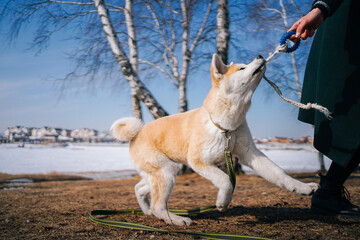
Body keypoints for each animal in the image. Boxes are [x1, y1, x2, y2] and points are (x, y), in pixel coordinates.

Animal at [111, 53, 320, 226]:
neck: (225, 126)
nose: (260, 55)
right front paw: (222, 202)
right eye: (242, 68)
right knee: (158, 205)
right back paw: (176, 220)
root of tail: (137, 132)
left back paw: (147, 211)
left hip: (159, 173)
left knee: (140, 189)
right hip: (166, 171)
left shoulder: (250, 154)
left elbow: (279, 174)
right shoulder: (199, 161)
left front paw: (302, 187)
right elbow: (226, 181)